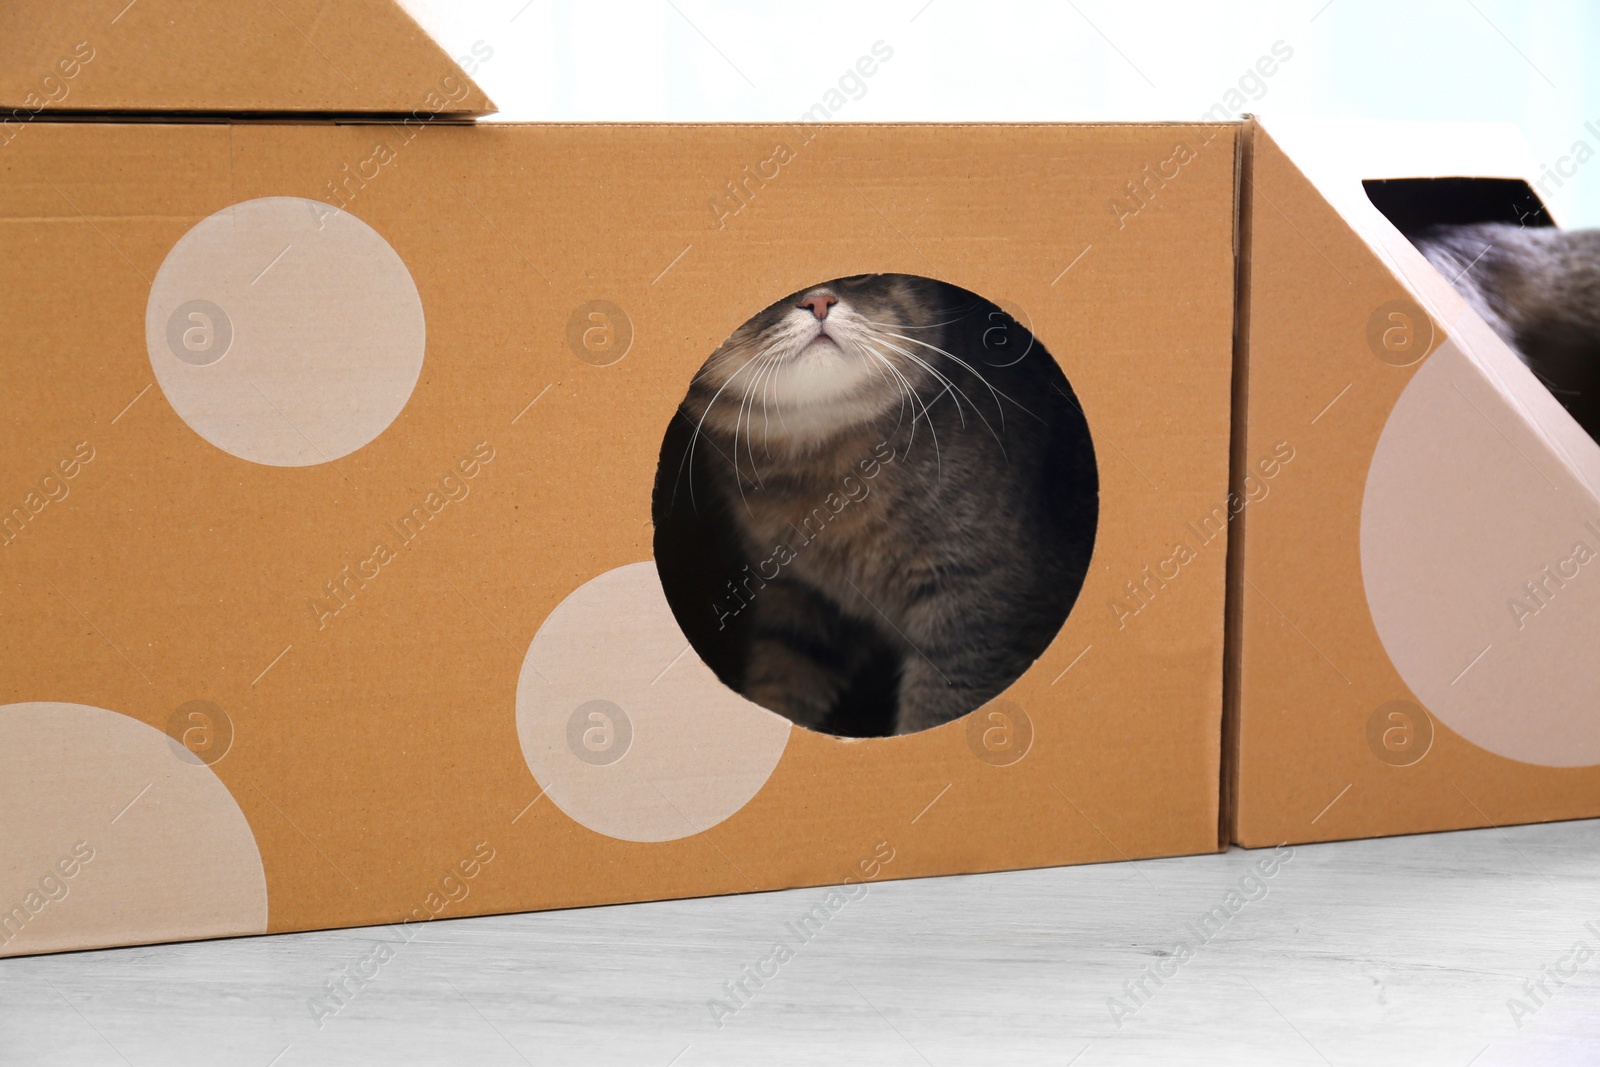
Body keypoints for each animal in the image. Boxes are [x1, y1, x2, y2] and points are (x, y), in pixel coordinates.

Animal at [656, 275, 1094, 735]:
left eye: (858, 276)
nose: (818, 301)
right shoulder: (798, 596)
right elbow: (781, 682)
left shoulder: (979, 607)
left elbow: (935, 710)